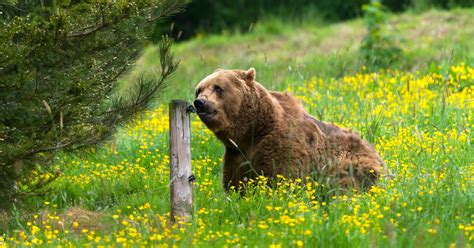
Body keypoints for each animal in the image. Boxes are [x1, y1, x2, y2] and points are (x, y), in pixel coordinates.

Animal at [194, 69, 384, 193]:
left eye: (218, 87)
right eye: (199, 89)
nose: (200, 102)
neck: (251, 132)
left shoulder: (282, 145)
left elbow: (282, 178)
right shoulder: (237, 155)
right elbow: (235, 184)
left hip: (352, 161)